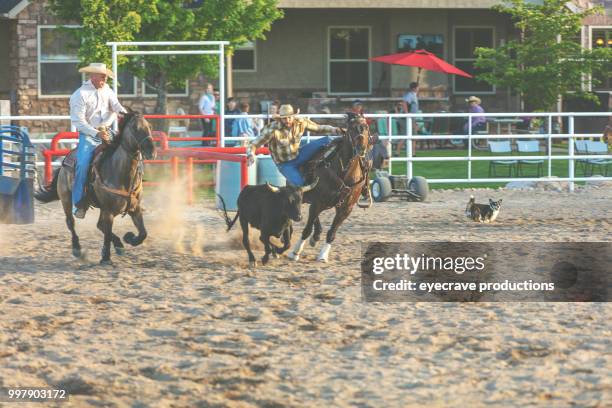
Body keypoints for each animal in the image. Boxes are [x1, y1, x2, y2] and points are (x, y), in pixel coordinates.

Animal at [34, 111, 155, 264]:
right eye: (135, 128)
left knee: (99, 225)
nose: (152, 150)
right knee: (71, 222)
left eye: (149, 126)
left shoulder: (135, 208)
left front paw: (129, 238)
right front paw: (106, 257)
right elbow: (107, 233)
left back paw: (119, 245)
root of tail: (64, 162)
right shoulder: (108, 211)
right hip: (66, 199)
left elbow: (143, 233)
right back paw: (77, 248)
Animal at [288, 111, 370, 262]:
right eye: (351, 128)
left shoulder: (346, 209)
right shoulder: (318, 202)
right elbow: (307, 228)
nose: (361, 148)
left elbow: (332, 232)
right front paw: (295, 252)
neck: (344, 174)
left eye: (366, 127)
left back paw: (316, 236)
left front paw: (323, 255)